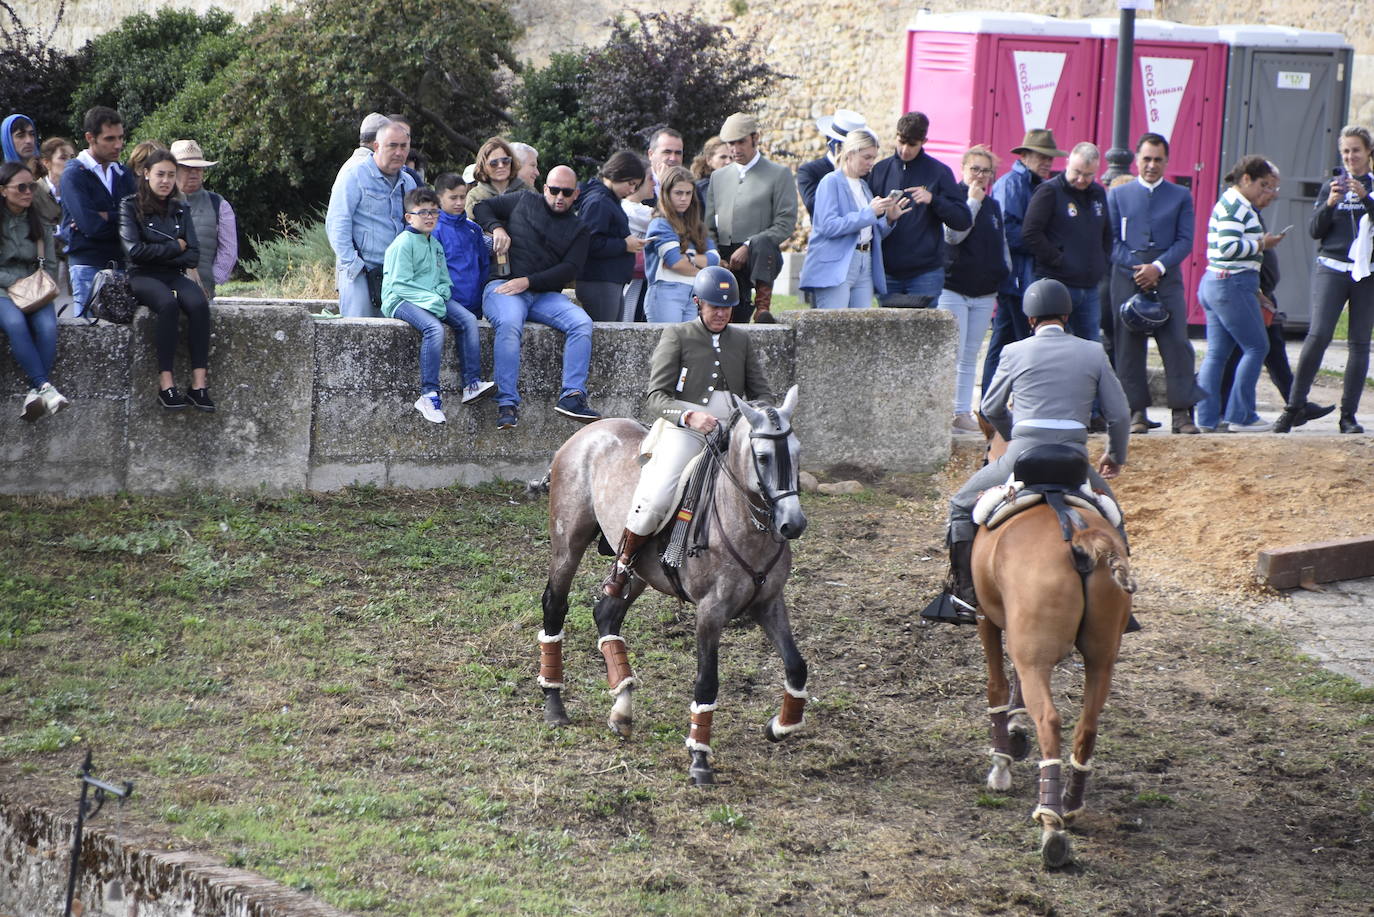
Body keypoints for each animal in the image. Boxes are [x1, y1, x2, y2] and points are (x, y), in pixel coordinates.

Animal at [535, 384, 807, 786]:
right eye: (762, 456)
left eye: (797, 452)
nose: (793, 523)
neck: (745, 520)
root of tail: (588, 432)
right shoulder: (710, 612)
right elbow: (707, 683)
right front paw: (699, 758)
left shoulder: (770, 602)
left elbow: (796, 666)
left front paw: (779, 726)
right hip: (568, 543)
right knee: (555, 605)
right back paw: (554, 703)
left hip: (638, 571)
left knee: (607, 613)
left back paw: (622, 708)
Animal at [972, 415, 1132, 868]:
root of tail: (1080, 536)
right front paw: (1015, 728)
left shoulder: (987, 620)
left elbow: (997, 688)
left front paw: (1002, 762)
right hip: (1101, 659)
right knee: (1087, 726)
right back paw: (1070, 806)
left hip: (1035, 655)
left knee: (1051, 721)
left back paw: (1051, 824)